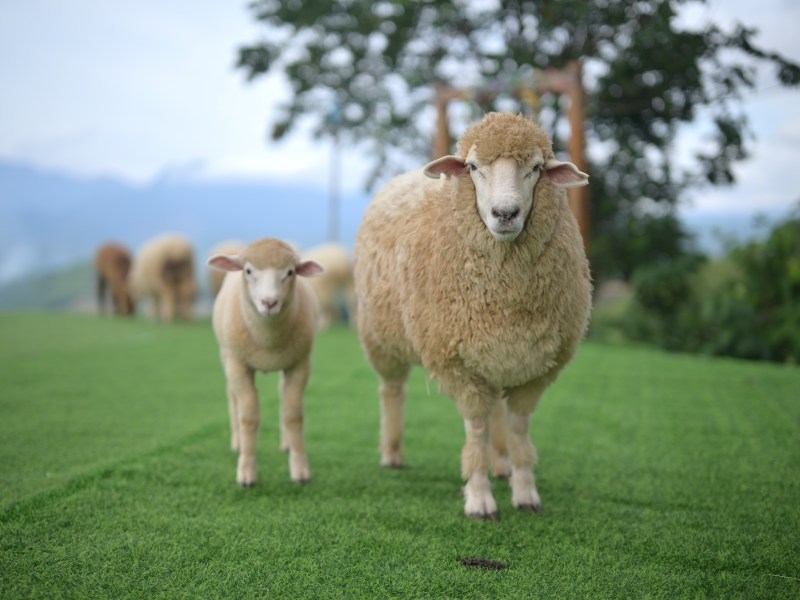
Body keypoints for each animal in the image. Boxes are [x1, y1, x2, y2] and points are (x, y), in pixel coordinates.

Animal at [208, 238, 324, 487]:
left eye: (290, 272)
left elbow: (293, 414)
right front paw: (246, 473)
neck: (267, 340)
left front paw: (300, 469)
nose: (269, 302)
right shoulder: (238, 364)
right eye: (248, 270)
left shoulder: (300, 364)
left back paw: (287, 445)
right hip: (226, 355)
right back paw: (237, 442)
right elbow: (248, 416)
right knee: (232, 397)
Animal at [354, 112, 591, 519]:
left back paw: (502, 465)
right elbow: (477, 429)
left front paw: (525, 491)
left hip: (495, 355)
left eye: (536, 168)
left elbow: (518, 428)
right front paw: (479, 499)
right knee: (392, 391)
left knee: (496, 408)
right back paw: (393, 454)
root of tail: (403, 178)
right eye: (474, 167)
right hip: (381, 340)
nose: (505, 213)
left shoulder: (533, 366)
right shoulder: (458, 365)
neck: (508, 291)